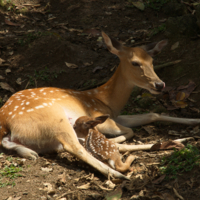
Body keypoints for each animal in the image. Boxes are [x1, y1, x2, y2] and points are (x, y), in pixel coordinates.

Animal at [0, 31, 200, 180]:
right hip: (54, 119)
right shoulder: (101, 118)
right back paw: (118, 174)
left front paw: (194, 120)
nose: (160, 85)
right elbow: (130, 131)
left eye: (152, 62)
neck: (106, 100)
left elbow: (152, 114)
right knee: (74, 147)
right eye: (135, 63)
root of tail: (5, 123)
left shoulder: (115, 115)